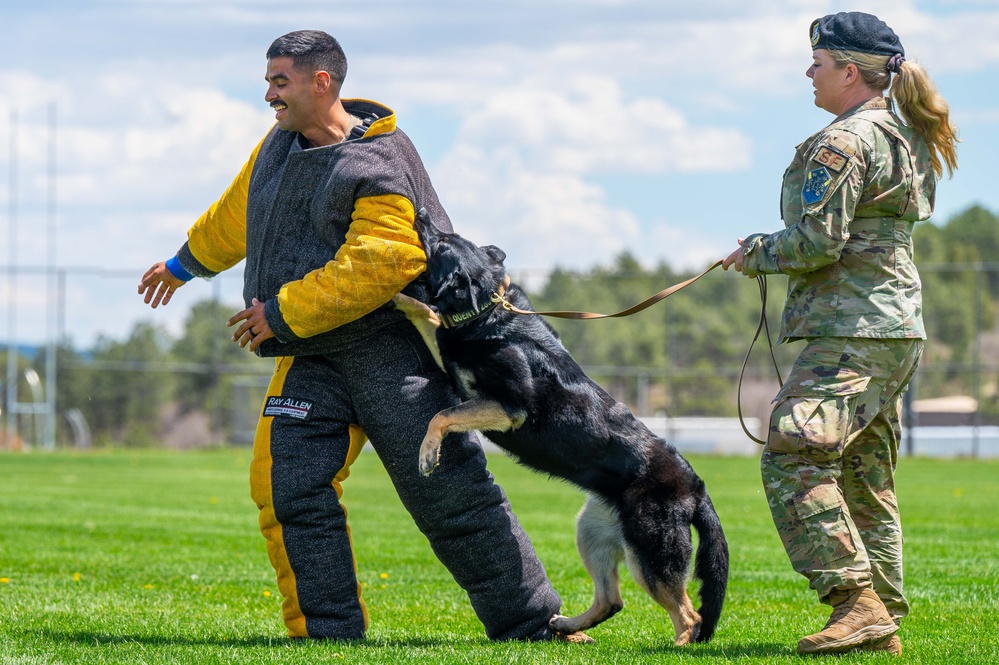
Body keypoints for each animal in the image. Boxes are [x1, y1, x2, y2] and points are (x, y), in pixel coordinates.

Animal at [394, 211, 732, 644]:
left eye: (439, 244)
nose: (420, 214)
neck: (488, 311)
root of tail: (696, 486)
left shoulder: (510, 408)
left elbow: (442, 414)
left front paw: (428, 453)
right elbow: (428, 316)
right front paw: (397, 299)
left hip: (651, 554)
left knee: (689, 616)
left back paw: (676, 646)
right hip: (592, 532)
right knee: (612, 601)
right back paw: (567, 624)